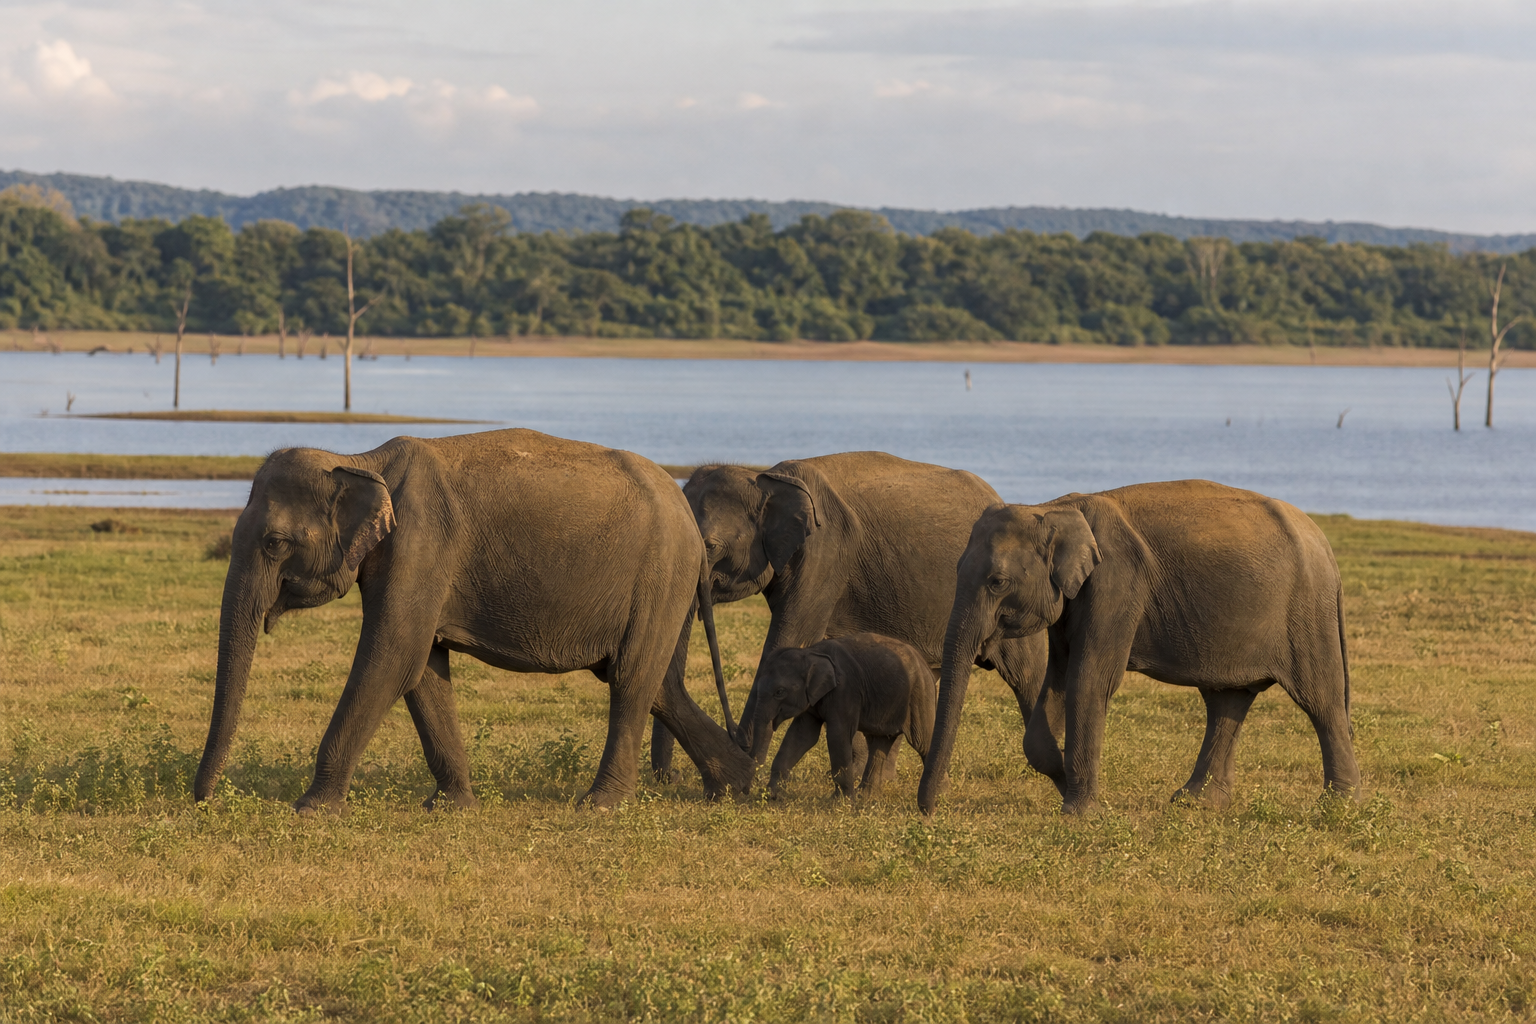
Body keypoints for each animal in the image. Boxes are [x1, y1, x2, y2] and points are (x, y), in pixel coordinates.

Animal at [192, 427, 754, 813]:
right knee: (657, 683)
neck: (358, 460)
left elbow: (393, 655)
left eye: (274, 543)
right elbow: (421, 667)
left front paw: (311, 810)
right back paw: (735, 786)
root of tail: (686, 513)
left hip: (659, 573)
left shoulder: (420, 544)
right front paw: (451, 807)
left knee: (631, 680)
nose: (207, 802)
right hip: (662, 586)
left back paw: (599, 805)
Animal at [657, 452, 1048, 781]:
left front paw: (748, 769)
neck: (766, 476)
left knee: (1028, 675)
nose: (669, 778)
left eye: (710, 546)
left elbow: (788, 641)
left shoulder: (825, 552)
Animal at [747, 633, 936, 799]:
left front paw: (841, 802)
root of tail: (925, 665)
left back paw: (938, 796)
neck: (810, 652)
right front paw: (772, 796)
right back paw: (865, 797)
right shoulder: (813, 699)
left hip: (920, 695)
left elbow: (837, 735)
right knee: (879, 743)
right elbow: (802, 736)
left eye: (779, 692)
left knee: (922, 742)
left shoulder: (845, 690)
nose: (750, 791)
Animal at [918, 479, 1360, 816]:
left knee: (1321, 701)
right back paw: (1194, 803)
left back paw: (1337, 807)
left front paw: (1078, 811)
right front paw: (1062, 775)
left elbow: (1089, 680)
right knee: (1226, 701)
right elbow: (1057, 680)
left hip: (1307, 612)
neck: (1053, 508)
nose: (928, 812)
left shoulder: (1117, 583)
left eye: (997, 582)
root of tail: (1326, 548)